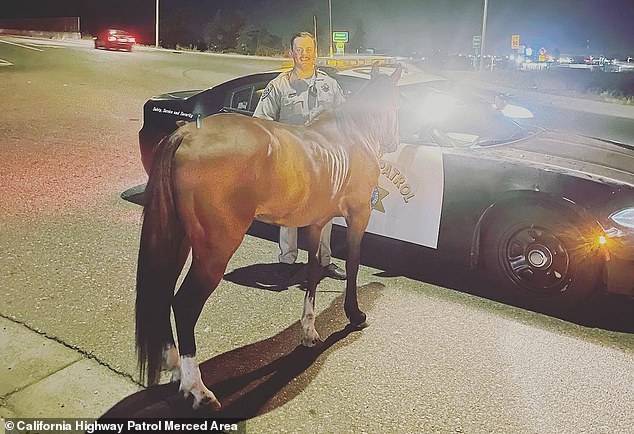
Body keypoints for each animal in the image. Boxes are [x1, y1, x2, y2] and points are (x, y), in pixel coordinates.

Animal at [135, 62, 400, 408]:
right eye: (399, 104)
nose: (394, 141)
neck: (350, 136)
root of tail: (186, 133)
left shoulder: (317, 222)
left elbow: (313, 271)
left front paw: (309, 332)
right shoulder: (358, 215)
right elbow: (354, 264)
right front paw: (354, 315)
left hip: (178, 239)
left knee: (164, 292)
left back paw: (175, 367)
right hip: (215, 250)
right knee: (184, 305)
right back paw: (198, 389)